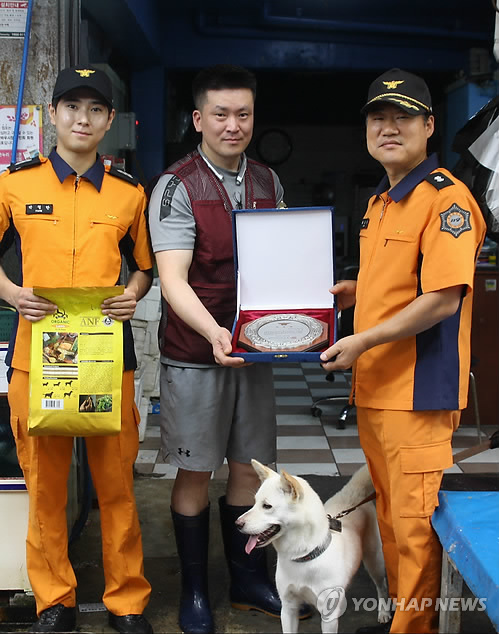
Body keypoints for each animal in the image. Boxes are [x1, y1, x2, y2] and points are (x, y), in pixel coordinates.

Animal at [236, 460, 392, 632]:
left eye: (267, 506)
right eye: (254, 503)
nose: (237, 524)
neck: (303, 555)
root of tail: (354, 491)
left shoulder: (328, 618)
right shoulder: (288, 608)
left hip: (374, 560)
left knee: (382, 585)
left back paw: (384, 612)